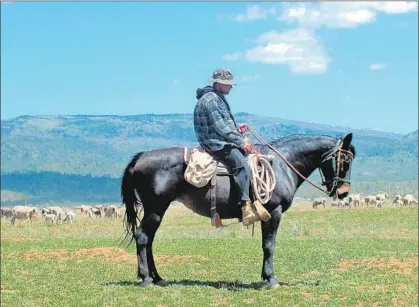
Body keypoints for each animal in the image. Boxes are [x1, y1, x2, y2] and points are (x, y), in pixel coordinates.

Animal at [121, 134, 358, 290]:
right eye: (345, 160)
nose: (344, 192)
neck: (281, 165)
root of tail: (141, 157)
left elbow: (265, 245)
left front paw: (265, 276)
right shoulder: (274, 212)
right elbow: (269, 245)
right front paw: (271, 279)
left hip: (157, 210)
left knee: (149, 240)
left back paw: (157, 277)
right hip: (155, 208)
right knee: (142, 237)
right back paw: (146, 278)